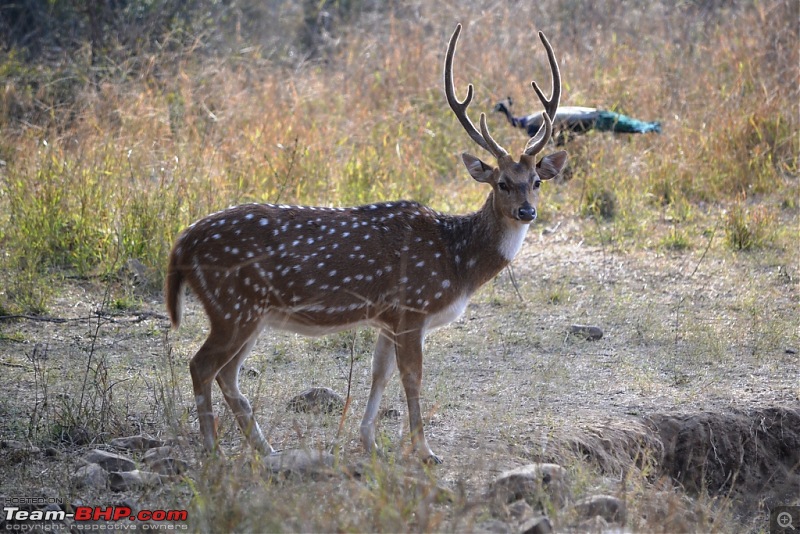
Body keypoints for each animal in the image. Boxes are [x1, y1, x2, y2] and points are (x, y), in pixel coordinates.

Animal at [162, 24, 564, 464]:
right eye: (502, 183)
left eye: (537, 181)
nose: (526, 211)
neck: (457, 262)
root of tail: (181, 243)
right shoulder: (413, 306)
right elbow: (412, 378)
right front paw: (425, 451)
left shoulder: (388, 317)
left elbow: (379, 374)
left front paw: (369, 441)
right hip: (232, 307)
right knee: (202, 365)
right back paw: (212, 451)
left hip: (247, 313)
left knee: (227, 374)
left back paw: (266, 449)